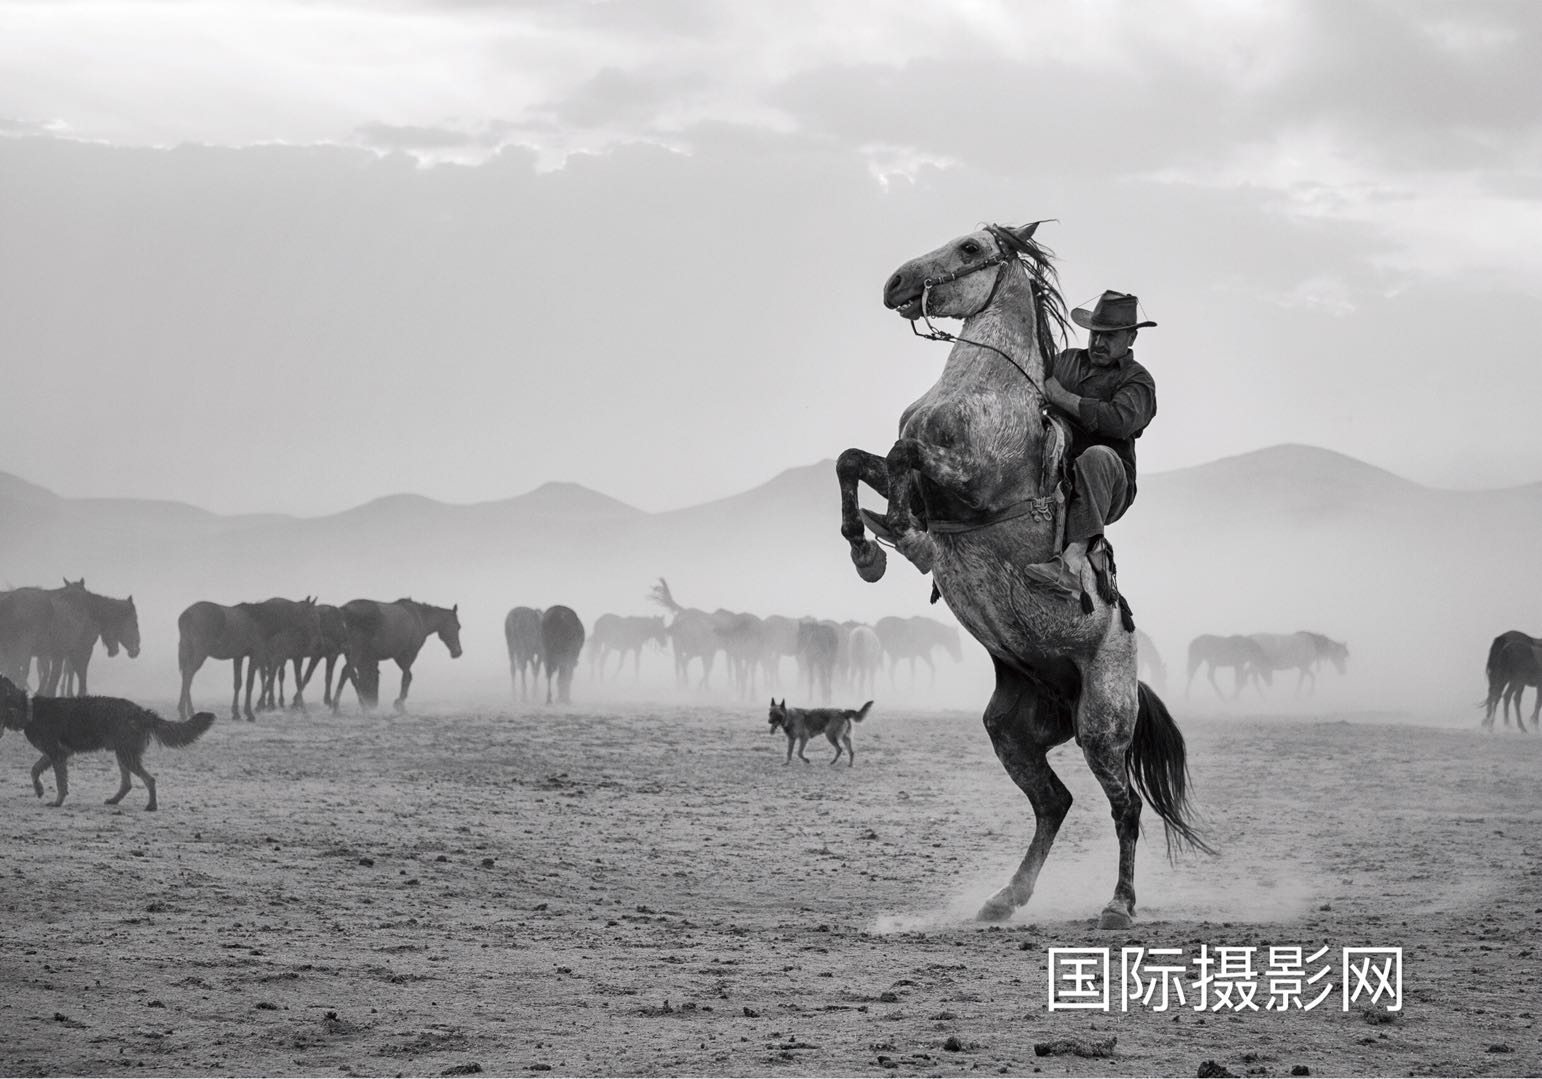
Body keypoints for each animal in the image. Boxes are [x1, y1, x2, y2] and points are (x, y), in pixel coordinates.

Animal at [833, 219, 1209, 927]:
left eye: (972, 249)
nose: (896, 283)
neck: (986, 386)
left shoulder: (968, 482)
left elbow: (902, 455)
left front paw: (888, 526)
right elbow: (854, 459)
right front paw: (867, 550)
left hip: (1101, 728)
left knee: (1125, 808)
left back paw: (1119, 906)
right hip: (1010, 729)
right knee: (1053, 802)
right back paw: (1005, 898)